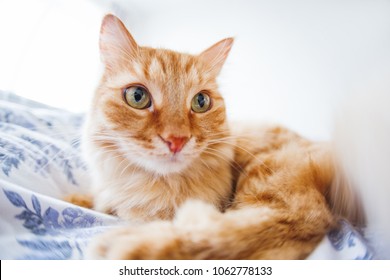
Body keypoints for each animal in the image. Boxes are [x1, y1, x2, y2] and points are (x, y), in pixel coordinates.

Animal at [73, 14, 354, 260]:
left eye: (200, 102)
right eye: (137, 97)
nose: (177, 140)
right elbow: (94, 201)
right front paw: (78, 199)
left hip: (271, 182)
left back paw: (126, 245)